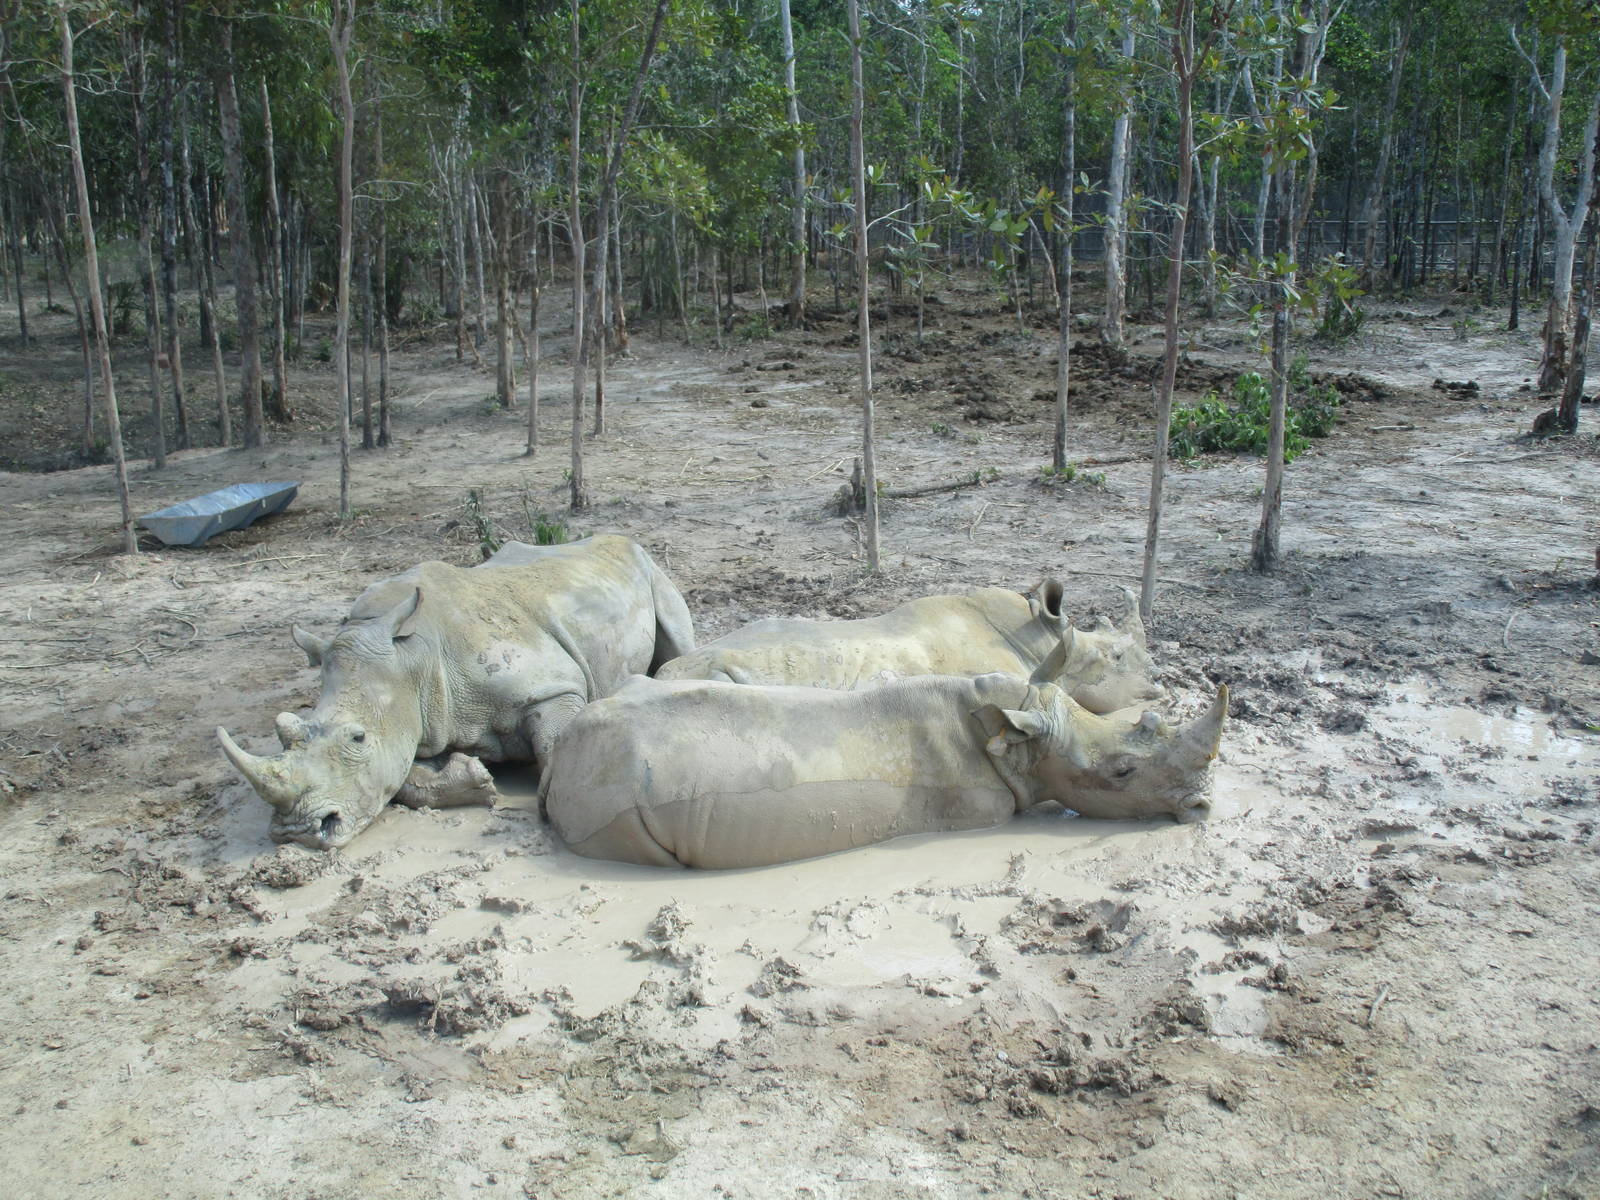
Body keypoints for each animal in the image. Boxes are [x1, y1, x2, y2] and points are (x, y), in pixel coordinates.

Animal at [217, 534, 694, 850]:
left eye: (358, 737)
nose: (297, 833)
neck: (413, 660)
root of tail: (615, 537)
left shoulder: (552, 687)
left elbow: (556, 742)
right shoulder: (418, 717)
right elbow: (402, 778)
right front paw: (476, 779)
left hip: (647, 567)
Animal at [540, 673, 1228, 869]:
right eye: (1122, 773)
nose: (1202, 807)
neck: (1018, 735)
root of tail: (558, 755)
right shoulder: (981, 809)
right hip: (615, 798)